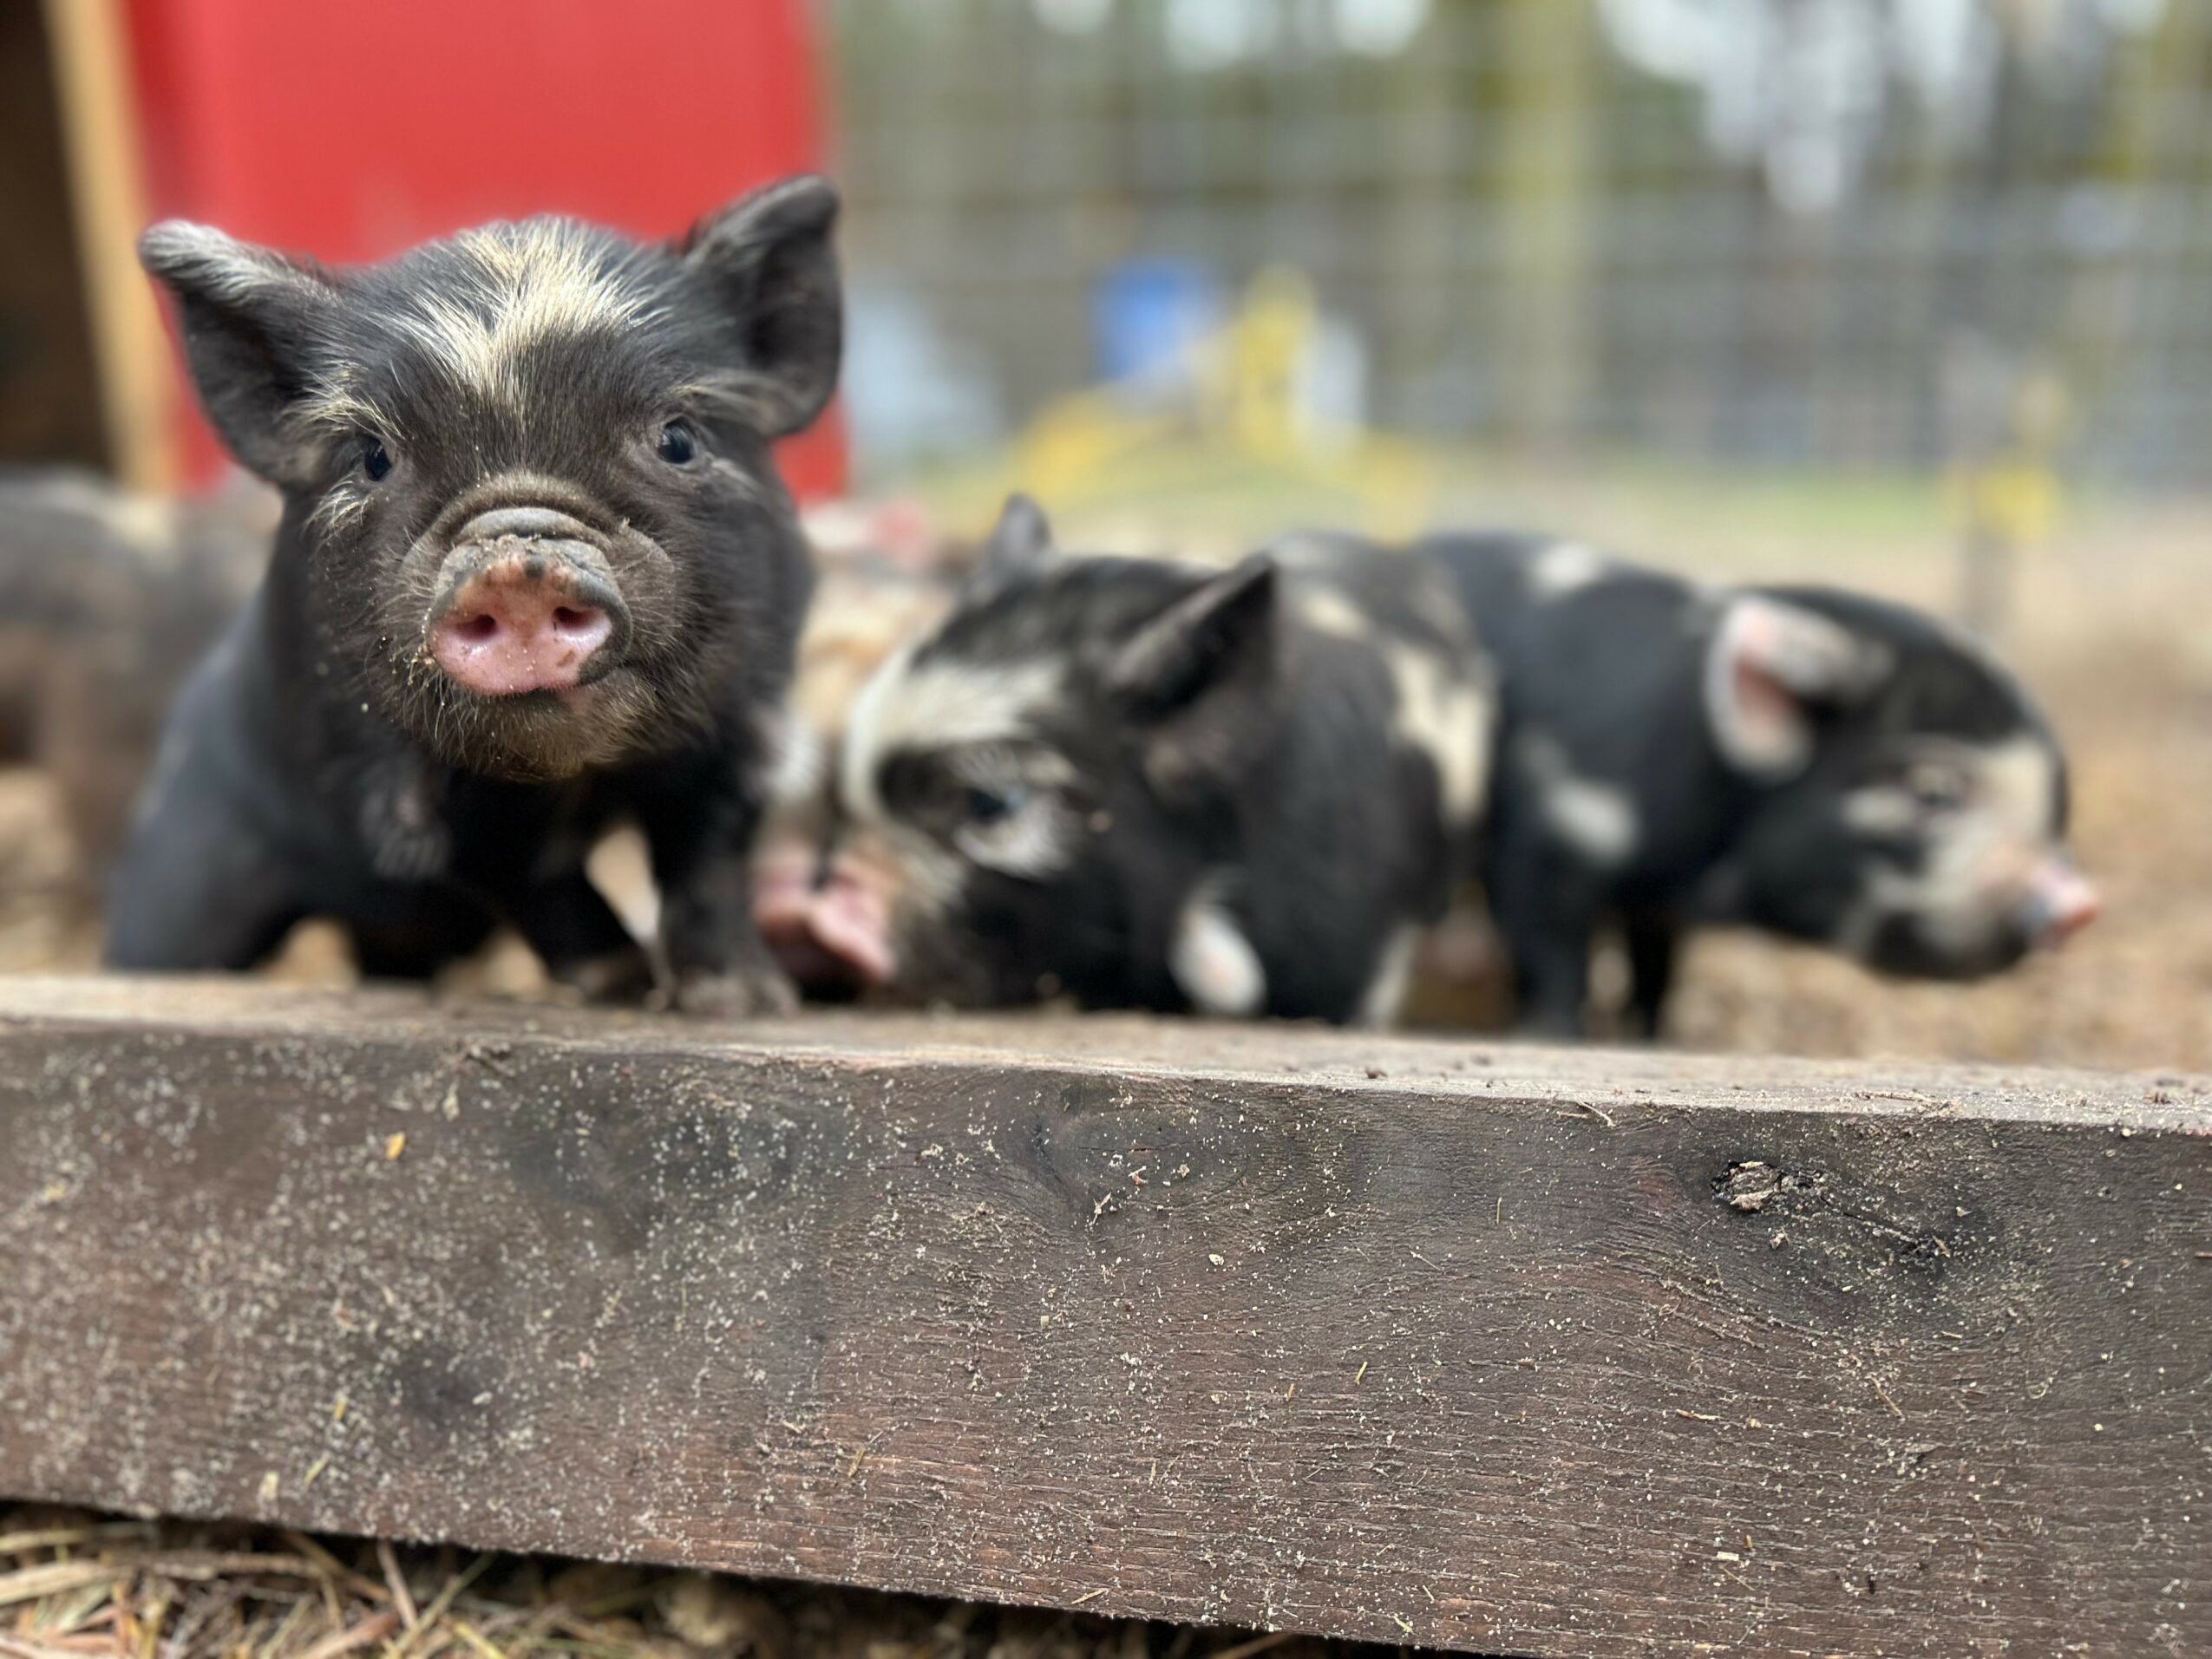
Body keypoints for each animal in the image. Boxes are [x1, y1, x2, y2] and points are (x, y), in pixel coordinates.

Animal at [104, 177, 842, 1013]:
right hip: (180, 859)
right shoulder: (390, 785)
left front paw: (744, 1001)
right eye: (374, 457)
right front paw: (617, 986)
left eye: (678, 438)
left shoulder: (747, 720)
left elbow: (706, 855)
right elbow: (526, 875)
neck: (576, 784)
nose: (517, 566)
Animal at [1421, 530, 2098, 1037]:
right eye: (1934, 793)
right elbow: (1553, 961)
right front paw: (1553, 1036)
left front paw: (1651, 1038)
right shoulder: (1545, 841)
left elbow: (1656, 973)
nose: (2079, 903)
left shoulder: (1659, 907)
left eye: (2058, 799)